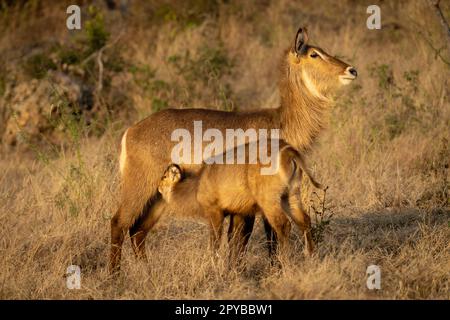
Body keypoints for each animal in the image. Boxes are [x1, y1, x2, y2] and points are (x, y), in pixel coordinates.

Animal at [156, 140, 322, 262]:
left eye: (163, 177)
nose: (157, 188)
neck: (197, 184)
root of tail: (288, 150)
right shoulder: (238, 213)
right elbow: (236, 240)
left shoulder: (214, 213)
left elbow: (215, 242)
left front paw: (214, 264)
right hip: (291, 196)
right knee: (304, 220)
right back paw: (311, 256)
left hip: (270, 201)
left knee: (284, 225)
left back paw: (285, 261)